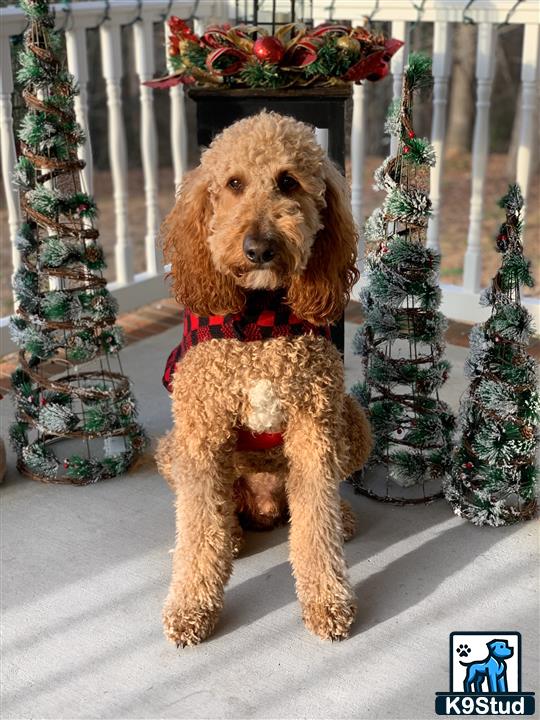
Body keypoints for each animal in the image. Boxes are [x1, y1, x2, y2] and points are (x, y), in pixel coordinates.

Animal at [157, 111, 372, 648]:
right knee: (214, 510)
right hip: (173, 448)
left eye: (288, 182)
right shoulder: (202, 430)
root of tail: (265, 505)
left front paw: (327, 601)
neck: (259, 317)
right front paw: (191, 607)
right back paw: (232, 534)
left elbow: (316, 526)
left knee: (314, 503)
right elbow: (197, 531)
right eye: (233, 184)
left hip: (351, 421)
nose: (258, 248)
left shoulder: (315, 427)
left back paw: (342, 517)